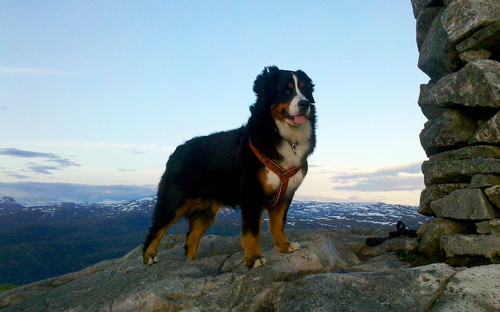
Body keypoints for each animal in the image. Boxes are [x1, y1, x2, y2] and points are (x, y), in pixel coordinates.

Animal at [143, 66, 316, 268]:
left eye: (304, 89)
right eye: (286, 90)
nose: (305, 103)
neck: (283, 135)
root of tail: (178, 150)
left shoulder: (285, 194)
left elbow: (279, 224)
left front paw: (285, 246)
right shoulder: (252, 193)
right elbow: (252, 230)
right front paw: (254, 258)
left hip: (206, 211)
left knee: (191, 238)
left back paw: (194, 262)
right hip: (175, 201)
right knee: (156, 229)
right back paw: (150, 256)